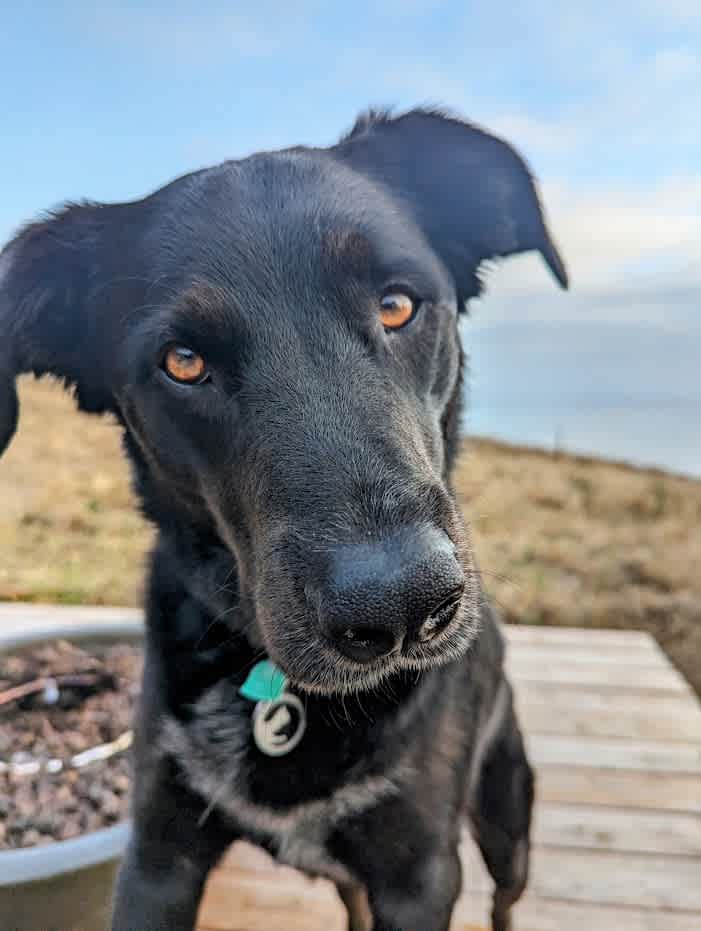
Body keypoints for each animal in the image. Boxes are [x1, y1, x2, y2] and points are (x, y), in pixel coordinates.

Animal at [0, 111, 568, 931]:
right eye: (182, 361)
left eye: (397, 305)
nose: (402, 607)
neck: (279, 692)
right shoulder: (157, 858)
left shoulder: (421, 876)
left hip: (505, 821)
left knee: (504, 897)